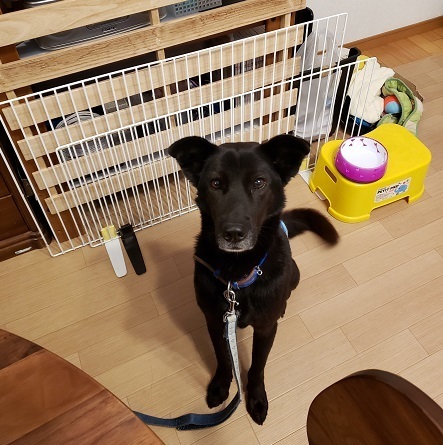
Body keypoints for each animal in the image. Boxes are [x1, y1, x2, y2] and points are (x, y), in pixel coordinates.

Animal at [168, 134, 339, 425]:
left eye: (259, 182)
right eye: (215, 183)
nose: (233, 233)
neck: (236, 274)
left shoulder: (266, 328)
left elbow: (257, 366)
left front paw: (256, 398)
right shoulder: (215, 321)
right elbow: (223, 359)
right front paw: (221, 385)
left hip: (294, 274)